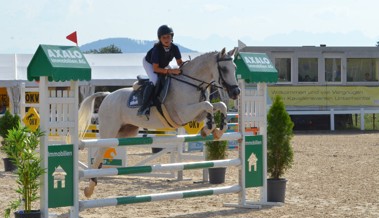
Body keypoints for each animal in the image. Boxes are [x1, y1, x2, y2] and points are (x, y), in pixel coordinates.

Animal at [78, 47, 242, 198]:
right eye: (224, 68)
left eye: (235, 68)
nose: (236, 92)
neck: (191, 84)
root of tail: (107, 95)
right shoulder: (182, 114)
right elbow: (208, 105)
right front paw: (209, 129)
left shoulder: (196, 115)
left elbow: (220, 105)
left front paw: (218, 130)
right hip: (109, 130)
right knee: (99, 155)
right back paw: (89, 189)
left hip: (125, 132)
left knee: (102, 154)